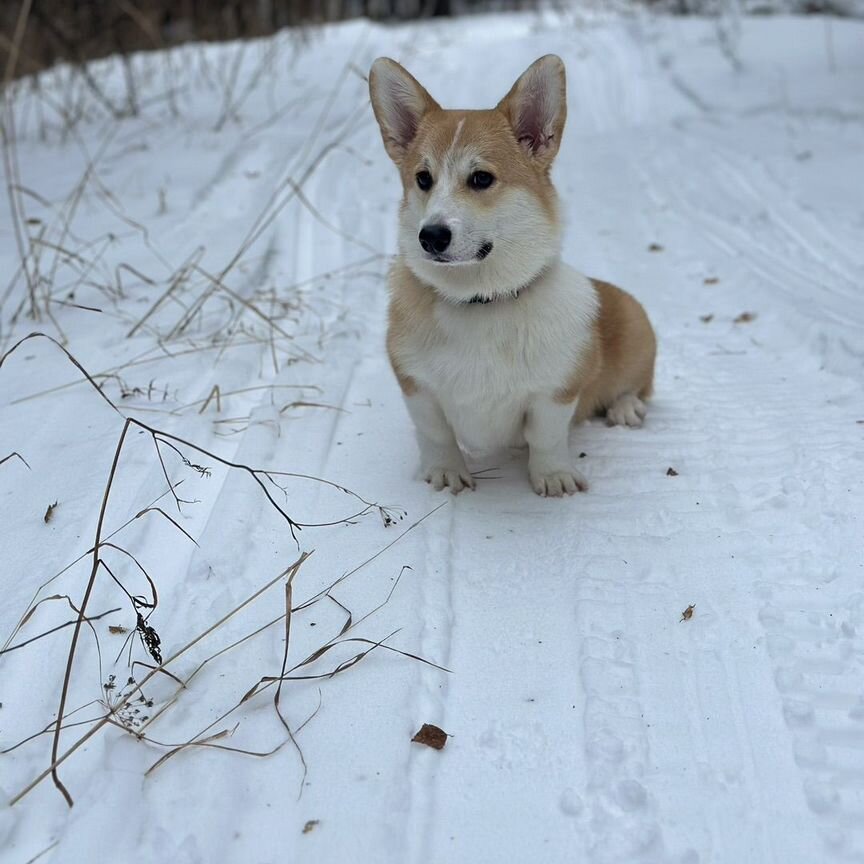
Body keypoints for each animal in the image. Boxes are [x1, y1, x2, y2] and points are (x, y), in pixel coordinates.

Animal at [364, 54, 656, 496]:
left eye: (481, 178)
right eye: (423, 179)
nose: (430, 236)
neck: (479, 299)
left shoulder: (556, 392)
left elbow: (546, 437)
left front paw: (553, 477)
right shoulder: (417, 386)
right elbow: (435, 435)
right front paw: (445, 472)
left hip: (637, 329)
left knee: (637, 386)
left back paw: (625, 408)